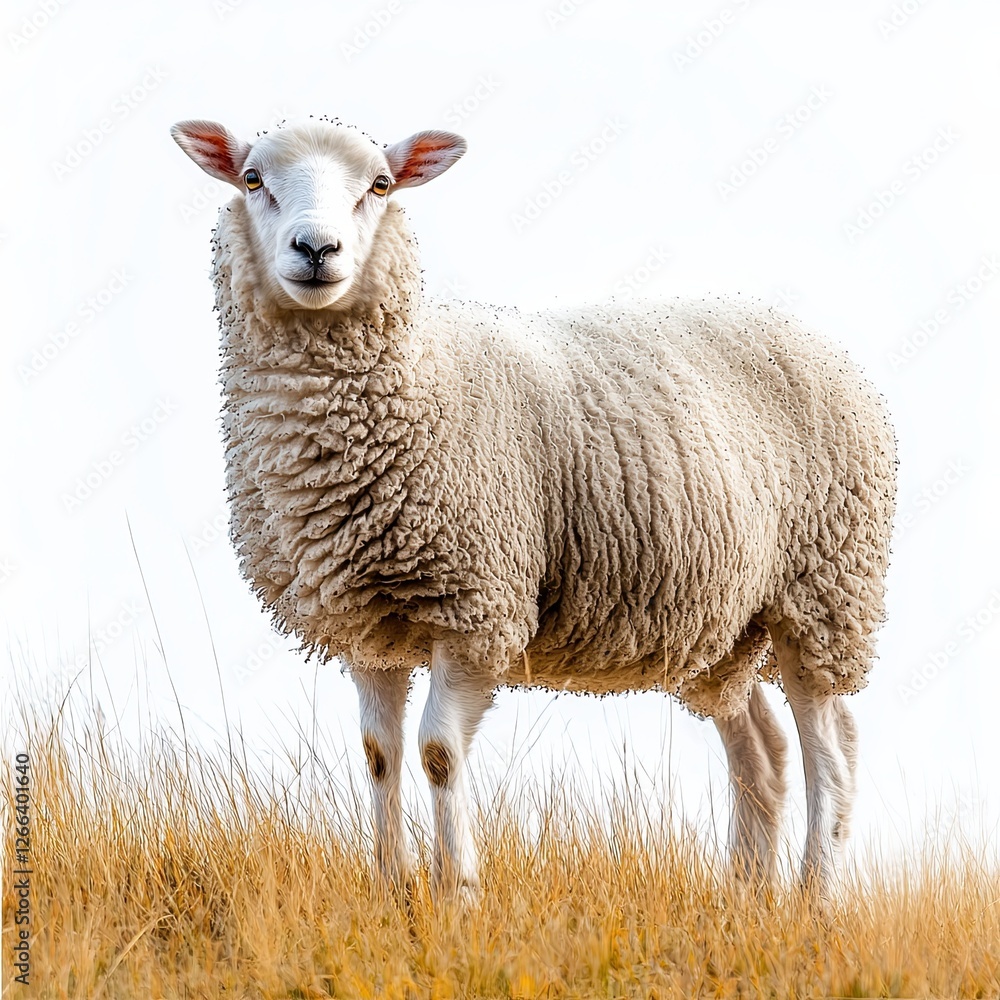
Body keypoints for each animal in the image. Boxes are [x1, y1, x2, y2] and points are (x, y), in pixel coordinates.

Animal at [171, 116, 897, 899]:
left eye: (381, 185)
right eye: (252, 180)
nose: (316, 250)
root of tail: (814, 338)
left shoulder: (478, 609)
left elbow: (438, 753)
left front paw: (457, 891)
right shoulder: (366, 624)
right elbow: (378, 754)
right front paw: (392, 888)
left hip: (825, 591)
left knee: (834, 754)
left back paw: (812, 900)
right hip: (726, 626)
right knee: (762, 753)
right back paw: (743, 901)